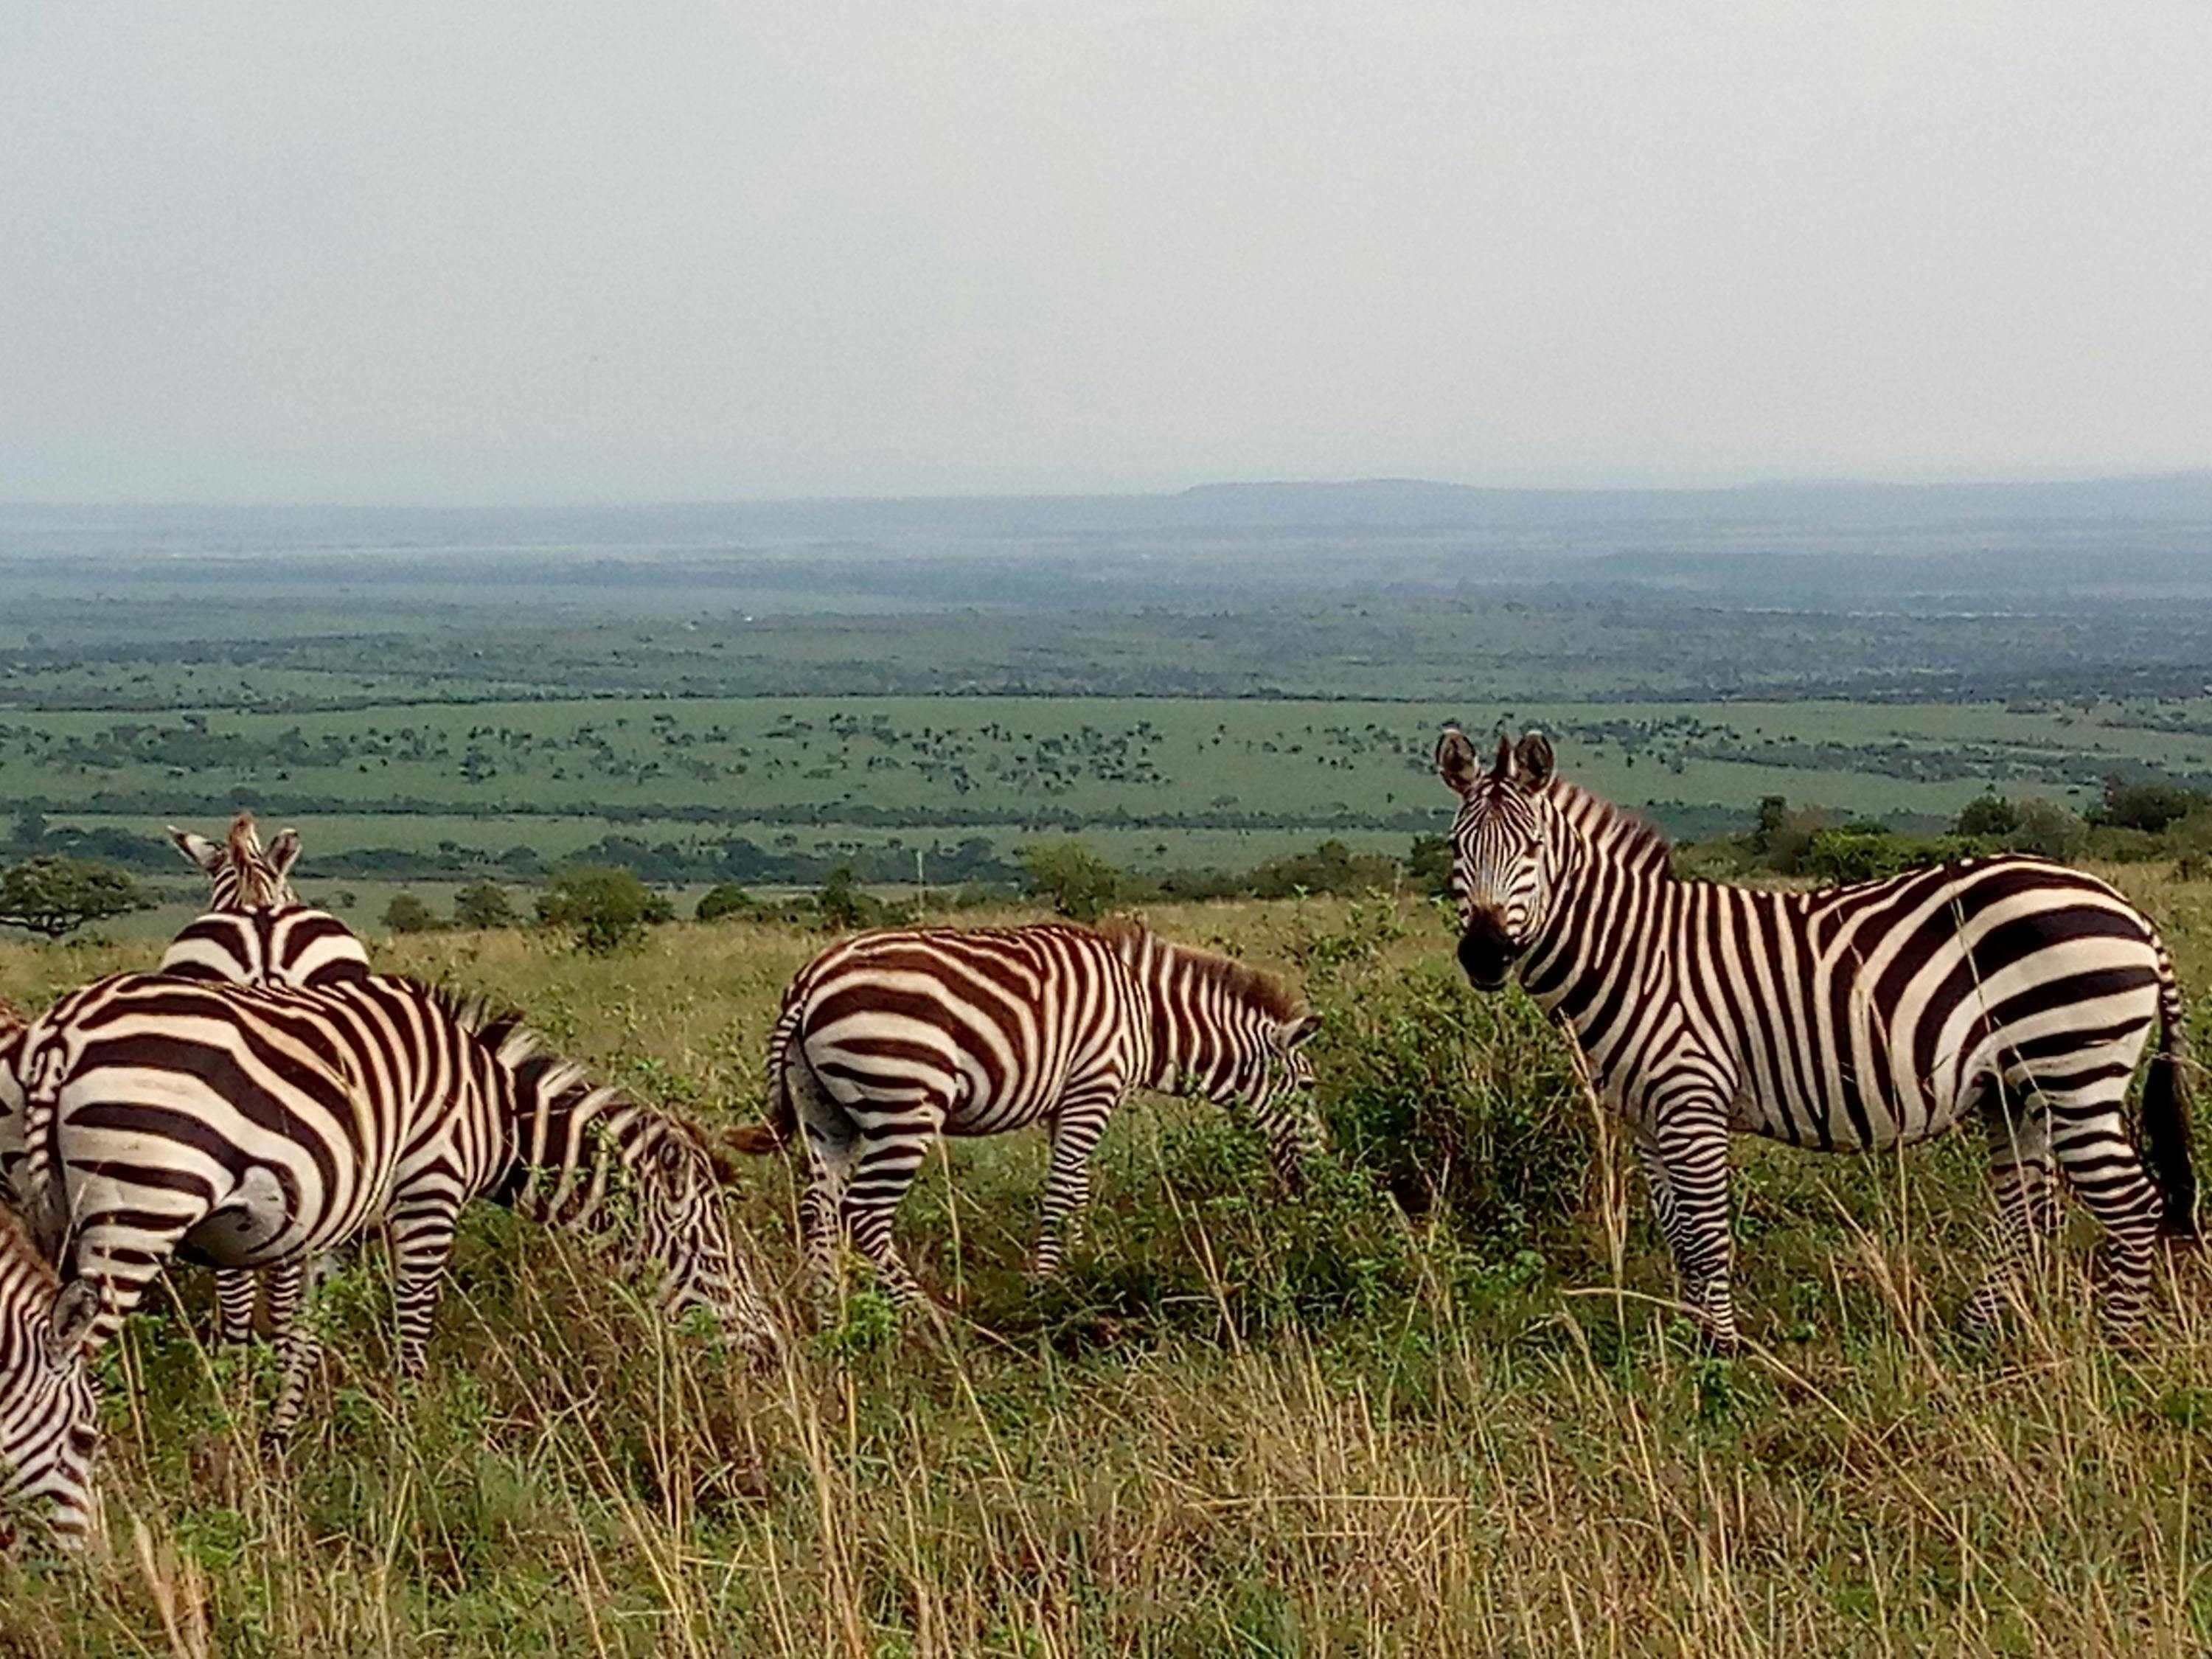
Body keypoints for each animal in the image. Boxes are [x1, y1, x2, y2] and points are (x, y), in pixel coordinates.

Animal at [10, 969, 779, 1451]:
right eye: (715, 1257)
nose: (771, 1356)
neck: (495, 1108)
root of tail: (63, 1034)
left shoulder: (337, 1216)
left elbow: (305, 1332)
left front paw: (280, 1439)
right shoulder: (429, 1191)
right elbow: (413, 1318)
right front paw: (411, 1433)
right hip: (141, 1208)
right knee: (68, 1356)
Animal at [730, 916, 1310, 1310]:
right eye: (1307, 1085)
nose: (1312, 1183)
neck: (1147, 1015)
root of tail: (810, 981)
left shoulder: (1065, 1102)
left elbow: (1076, 1189)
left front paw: (1080, 1266)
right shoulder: (1092, 1087)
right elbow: (1060, 1192)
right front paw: (1046, 1286)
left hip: (825, 1110)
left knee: (818, 1207)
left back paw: (827, 1311)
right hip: (904, 1100)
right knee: (864, 1211)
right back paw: (927, 1318)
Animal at [1433, 734, 2194, 1354]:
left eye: (1534, 851)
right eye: (1455, 850)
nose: (1484, 954)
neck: (1633, 951)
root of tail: (2131, 914)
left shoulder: (1691, 1097)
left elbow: (1707, 1235)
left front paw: (1721, 1354)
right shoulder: (1645, 1116)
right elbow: (1679, 1235)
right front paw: (1688, 1342)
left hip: (2075, 1072)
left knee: (2133, 1206)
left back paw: (2116, 1348)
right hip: (2016, 1090)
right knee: (2027, 1211)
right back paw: (1980, 1333)